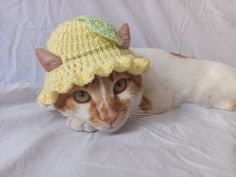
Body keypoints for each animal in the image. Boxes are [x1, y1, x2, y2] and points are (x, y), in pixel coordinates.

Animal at [35, 22, 236, 132]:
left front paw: (82, 122)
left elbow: (136, 105)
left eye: (119, 86)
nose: (109, 118)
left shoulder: (160, 97)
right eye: (81, 95)